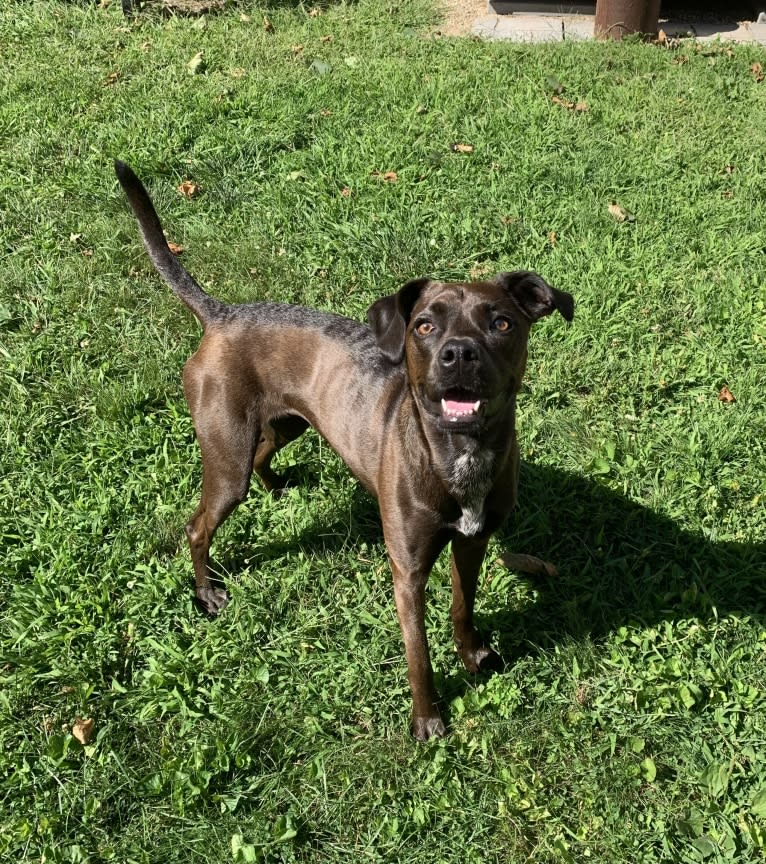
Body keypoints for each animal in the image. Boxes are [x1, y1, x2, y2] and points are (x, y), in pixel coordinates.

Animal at [115, 164, 576, 744]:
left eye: (502, 323)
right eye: (425, 325)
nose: (458, 354)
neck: (459, 454)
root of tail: (223, 315)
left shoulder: (473, 541)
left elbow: (463, 605)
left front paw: (473, 654)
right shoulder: (408, 571)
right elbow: (419, 656)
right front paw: (427, 719)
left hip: (288, 424)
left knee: (264, 453)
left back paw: (277, 488)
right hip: (226, 457)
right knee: (198, 524)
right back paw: (207, 593)